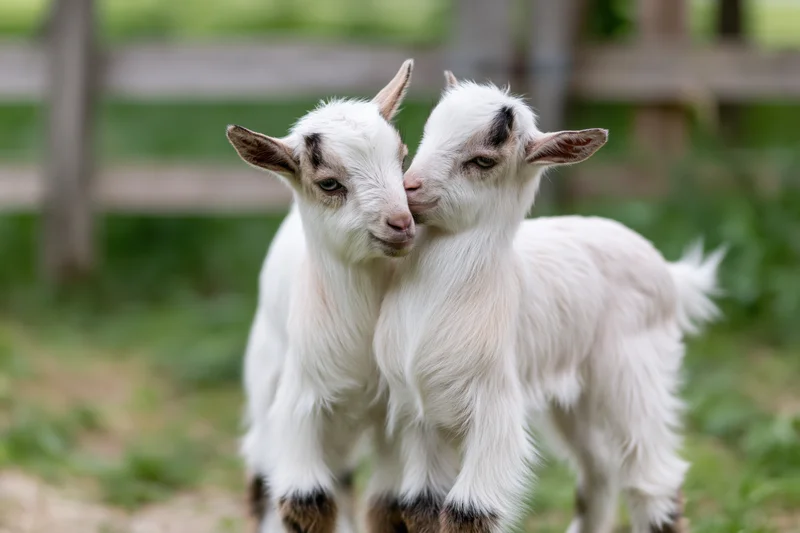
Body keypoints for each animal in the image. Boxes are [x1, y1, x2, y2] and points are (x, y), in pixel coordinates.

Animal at [227, 60, 415, 533]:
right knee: (262, 474)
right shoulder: (300, 409)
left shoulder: (395, 414)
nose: (401, 223)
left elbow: (387, 506)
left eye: (402, 158)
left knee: (344, 479)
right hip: (265, 386)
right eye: (329, 183)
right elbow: (306, 503)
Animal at [373, 76, 722, 533]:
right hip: (574, 401)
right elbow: (421, 508)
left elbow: (469, 512)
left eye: (483, 161)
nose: (409, 188)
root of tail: (667, 272)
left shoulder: (496, 412)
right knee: (599, 472)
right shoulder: (418, 414)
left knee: (652, 477)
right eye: (427, 135)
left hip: (633, 376)